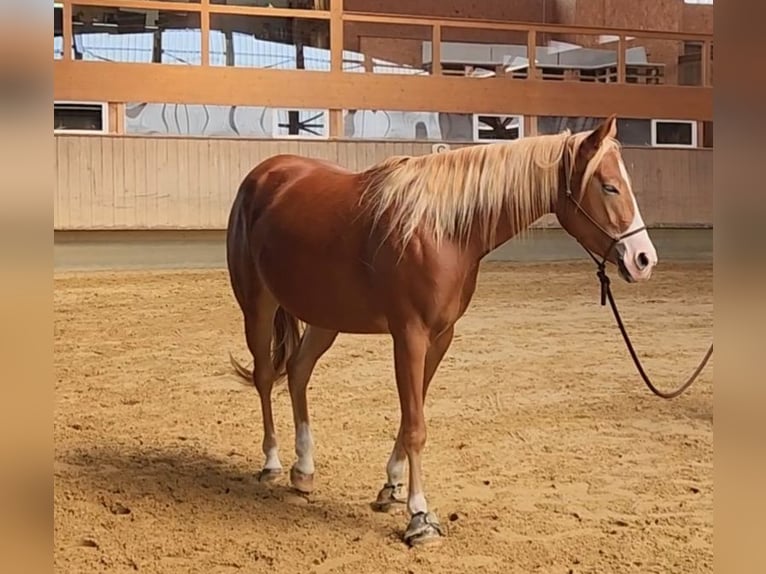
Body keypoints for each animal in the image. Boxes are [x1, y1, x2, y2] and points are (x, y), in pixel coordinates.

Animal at [225, 114, 658, 546]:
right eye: (609, 186)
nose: (644, 260)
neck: (441, 231)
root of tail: (265, 174)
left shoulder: (440, 337)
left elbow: (410, 416)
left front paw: (392, 487)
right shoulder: (409, 336)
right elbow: (416, 425)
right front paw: (419, 516)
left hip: (325, 318)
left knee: (298, 373)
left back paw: (304, 469)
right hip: (258, 307)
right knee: (265, 377)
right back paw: (272, 462)